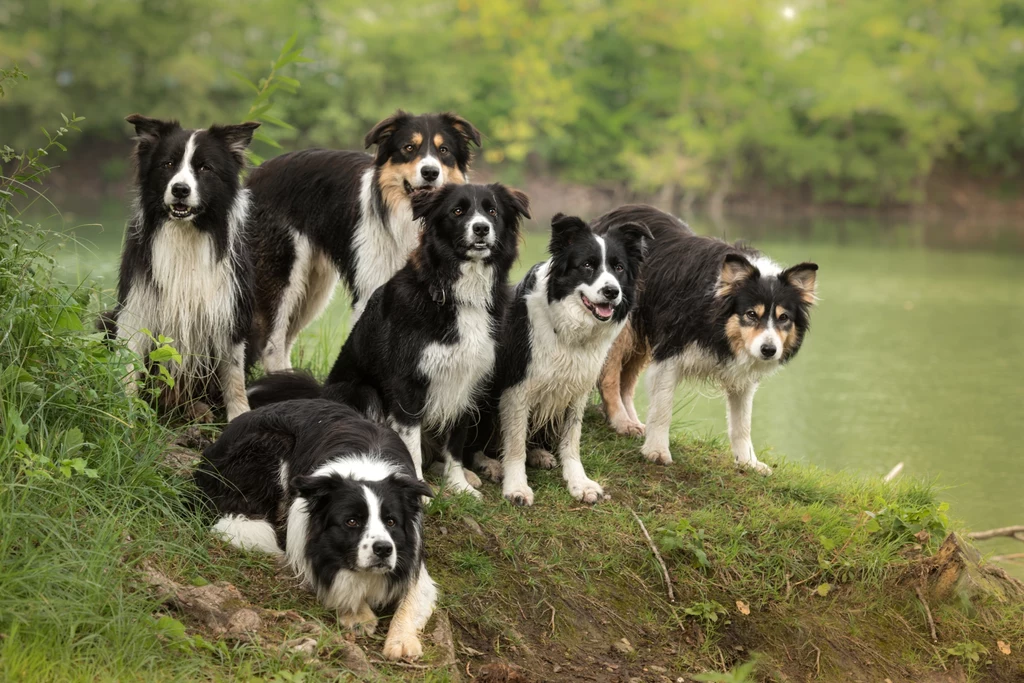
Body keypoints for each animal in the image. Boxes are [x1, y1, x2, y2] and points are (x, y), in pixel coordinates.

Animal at [192, 401, 436, 663]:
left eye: (391, 522)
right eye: (351, 521)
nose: (383, 549)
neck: (365, 470)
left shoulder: (411, 557)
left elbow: (413, 596)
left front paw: (402, 641)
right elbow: (339, 584)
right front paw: (358, 614)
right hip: (269, 446)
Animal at [242, 109, 479, 370]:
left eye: (444, 150)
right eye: (408, 148)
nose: (430, 172)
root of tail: (254, 176)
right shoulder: (372, 287)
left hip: (314, 287)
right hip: (284, 273)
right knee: (271, 344)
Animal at [246, 184, 528, 499]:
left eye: (492, 211)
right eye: (457, 211)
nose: (481, 228)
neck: (456, 293)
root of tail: (320, 394)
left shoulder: (466, 381)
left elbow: (455, 443)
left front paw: (460, 486)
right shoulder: (407, 384)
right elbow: (411, 446)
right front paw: (419, 489)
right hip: (361, 392)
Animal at [593, 205, 815, 479]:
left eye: (784, 318)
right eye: (751, 314)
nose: (769, 350)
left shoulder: (742, 375)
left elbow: (742, 423)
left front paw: (748, 462)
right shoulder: (670, 350)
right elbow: (662, 407)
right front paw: (656, 451)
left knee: (627, 380)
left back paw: (634, 423)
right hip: (621, 322)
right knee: (609, 376)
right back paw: (622, 422)